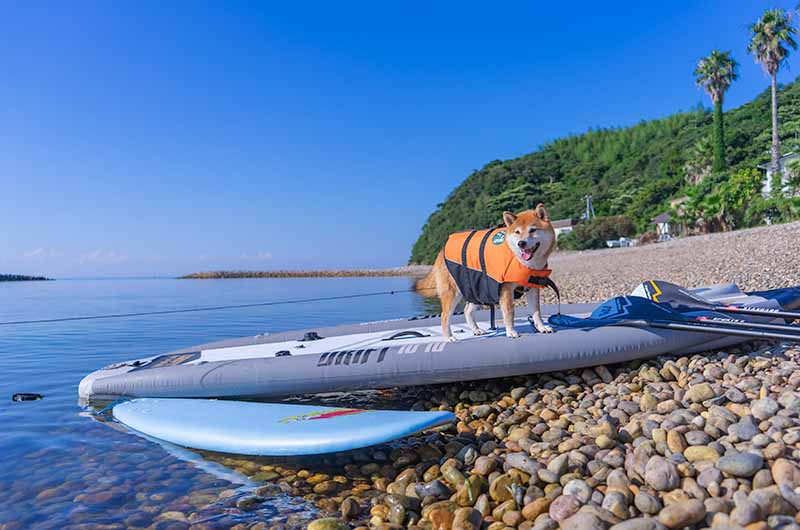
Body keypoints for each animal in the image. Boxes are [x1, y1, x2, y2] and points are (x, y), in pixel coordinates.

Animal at [418, 204, 556, 340]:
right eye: (517, 232)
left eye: (533, 230)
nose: (521, 243)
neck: (523, 261)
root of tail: (441, 251)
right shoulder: (506, 289)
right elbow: (509, 313)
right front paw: (511, 332)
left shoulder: (532, 288)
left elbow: (536, 312)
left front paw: (541, 327)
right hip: (453, 292)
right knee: (444, 316)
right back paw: (449, 337)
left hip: (477, 290)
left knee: (467, 310)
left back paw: (476, 330)